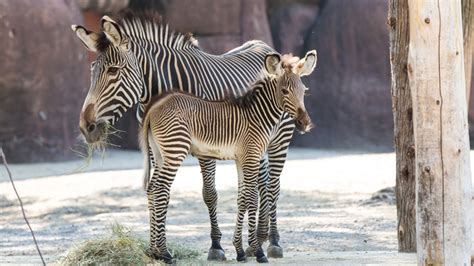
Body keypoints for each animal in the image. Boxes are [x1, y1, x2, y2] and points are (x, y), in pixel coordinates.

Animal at [72, 12, 294, 262]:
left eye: (113, 71)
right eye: (92, 70)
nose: (86, 127)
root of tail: (263, 45)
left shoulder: (207, 145)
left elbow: (209, 194)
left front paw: (216, 246)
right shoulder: (154, 147)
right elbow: (157, 191)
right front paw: (157, 249)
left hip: (279, 139)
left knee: (273, 185)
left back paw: (273, 241)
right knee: (261, 182)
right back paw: (259, 239)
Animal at [141, 51, 318, 262]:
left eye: (304, 91)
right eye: (284, 91)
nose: (304, 123)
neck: (258, 115)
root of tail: (154, 107)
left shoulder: (241, 159)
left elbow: (242, 199)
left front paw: (240, 251)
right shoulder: (251, 156)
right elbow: (252, 198)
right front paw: (257, 252)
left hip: (160, 153)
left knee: (152, 189)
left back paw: (153, 251)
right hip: (175, 149)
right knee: (161, 190)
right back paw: (165, 252)